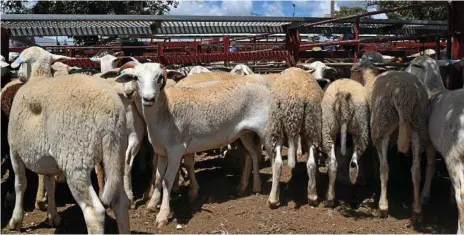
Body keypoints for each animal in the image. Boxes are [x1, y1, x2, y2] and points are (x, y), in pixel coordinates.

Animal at [7, 46, 130, 232]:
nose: (19, 75)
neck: (38, 77)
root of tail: (110, 112)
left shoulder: (14, 150)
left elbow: (20, 184)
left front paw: (16, 220)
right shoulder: (47, 161)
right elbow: (50, 184)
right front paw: (53, 217)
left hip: (75, 160)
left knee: (94, 212)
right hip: (117, 153)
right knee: (120, 203)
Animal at [108, 61, 272, 227]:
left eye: (160, 77)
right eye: (136, 77)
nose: (149, 99)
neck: (165, 112)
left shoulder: (176, 151)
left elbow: (167, 180)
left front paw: (162, 215)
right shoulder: (161, 152)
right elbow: (159, 177)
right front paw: (152, 204)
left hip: (264, 128)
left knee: (269, 157)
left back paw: (270, 196)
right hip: (245, 133)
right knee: (252, 154)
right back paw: (252, 186)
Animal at [266, 66, 324, 207]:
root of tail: (293, 99)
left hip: (277, 125)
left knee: (278, 164)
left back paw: (273, 199)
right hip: (312, 126)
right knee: (311, 162)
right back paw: (313, 196)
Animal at [320, 78, 370, 206]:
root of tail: (344, 94)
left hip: (328, 125)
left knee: (336, 164)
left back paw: (330, 199)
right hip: (361, 128)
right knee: (354, 164)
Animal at [406, 55, 464, 233]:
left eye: (413, 65)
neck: (434, 90)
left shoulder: (430, 142)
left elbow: (430, 165)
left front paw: (424, 196)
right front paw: (449, 195)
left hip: (455, 155)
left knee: (462, 196)